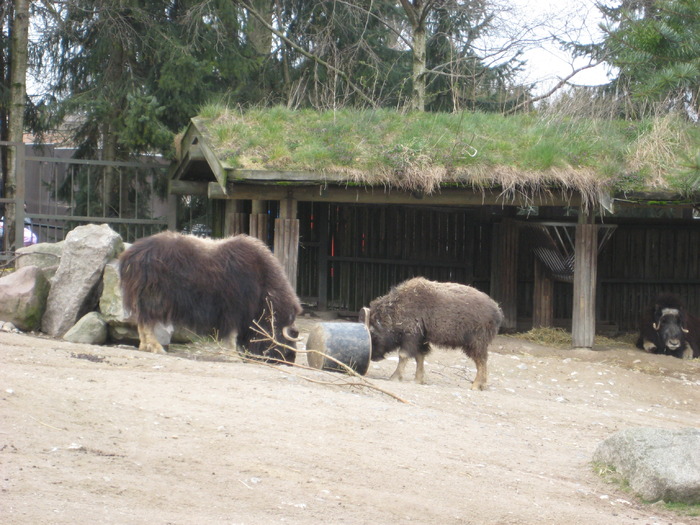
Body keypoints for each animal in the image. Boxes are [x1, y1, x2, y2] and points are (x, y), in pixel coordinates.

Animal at [118, 231, 304, 362]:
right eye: (289, 336)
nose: (290, 361)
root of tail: (130, 255)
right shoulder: (233, 311)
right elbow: (232, 335)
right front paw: (234, 356)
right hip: (154, 299)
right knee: (147, 322)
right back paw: (156, 348)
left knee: (141, 322)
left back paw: (144, 346)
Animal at [360, 276, 504, 390]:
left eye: (373, 334)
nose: (373, 357)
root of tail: (497, 311)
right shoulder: (421, 340)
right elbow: (419, 357)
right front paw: (418, 380)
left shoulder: (410, 338)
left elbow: (403, 355)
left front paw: (394, 377)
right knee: (482, 361)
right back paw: (481, 385)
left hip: (475, 344)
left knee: (481, 361)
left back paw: (475, 386)